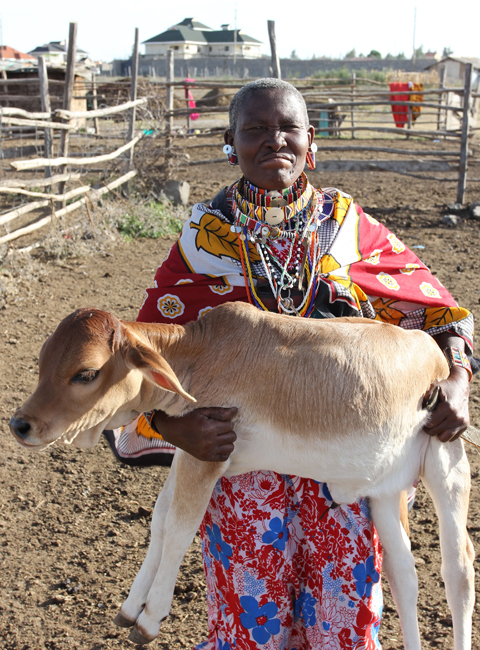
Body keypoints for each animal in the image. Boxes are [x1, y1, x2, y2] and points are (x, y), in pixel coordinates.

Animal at [9, 304, 474, 648]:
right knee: (403, 573)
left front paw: (151, 617)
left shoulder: (207, 460)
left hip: (447, 465)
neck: (198, 354)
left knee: (459, 571)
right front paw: (130, 607)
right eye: (43, 361)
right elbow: (159, 522)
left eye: (86, 373)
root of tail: (431, 351)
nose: (20, 424)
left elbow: (179, 529)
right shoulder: (192, 451)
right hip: (385, 493)